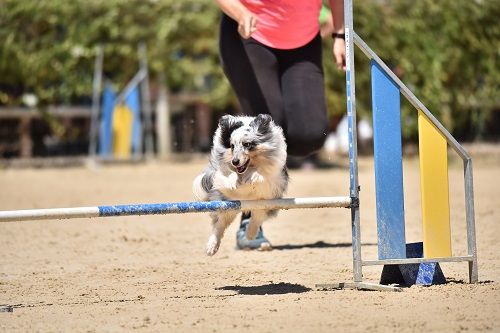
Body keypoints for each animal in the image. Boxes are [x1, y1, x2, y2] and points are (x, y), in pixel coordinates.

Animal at [194, 113, 290, 255]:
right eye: (232, 145)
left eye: (247, 144)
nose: (235, 162)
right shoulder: (221, 176)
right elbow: (228, 175)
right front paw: (233, 181)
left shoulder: (270, 190)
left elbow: (261, 176)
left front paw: (254, 176)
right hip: (227, 204)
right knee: (220, 224)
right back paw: (212, 247)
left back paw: (250, 235)